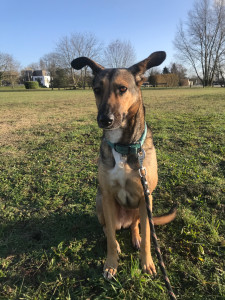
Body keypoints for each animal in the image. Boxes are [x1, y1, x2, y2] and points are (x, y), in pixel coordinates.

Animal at [71, 51, 177, 278]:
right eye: (97, 90)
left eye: (122, 89)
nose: (105, 120)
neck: (123, 146)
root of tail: (125, 221)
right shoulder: (108, 197)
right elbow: (111, 238)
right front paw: (111, 263)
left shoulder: (146, 197)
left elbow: (148, 238)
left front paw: (147, 263)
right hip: (100, 202)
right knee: (108, 229)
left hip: (141, 208)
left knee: (136, 226)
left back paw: (135, 236)